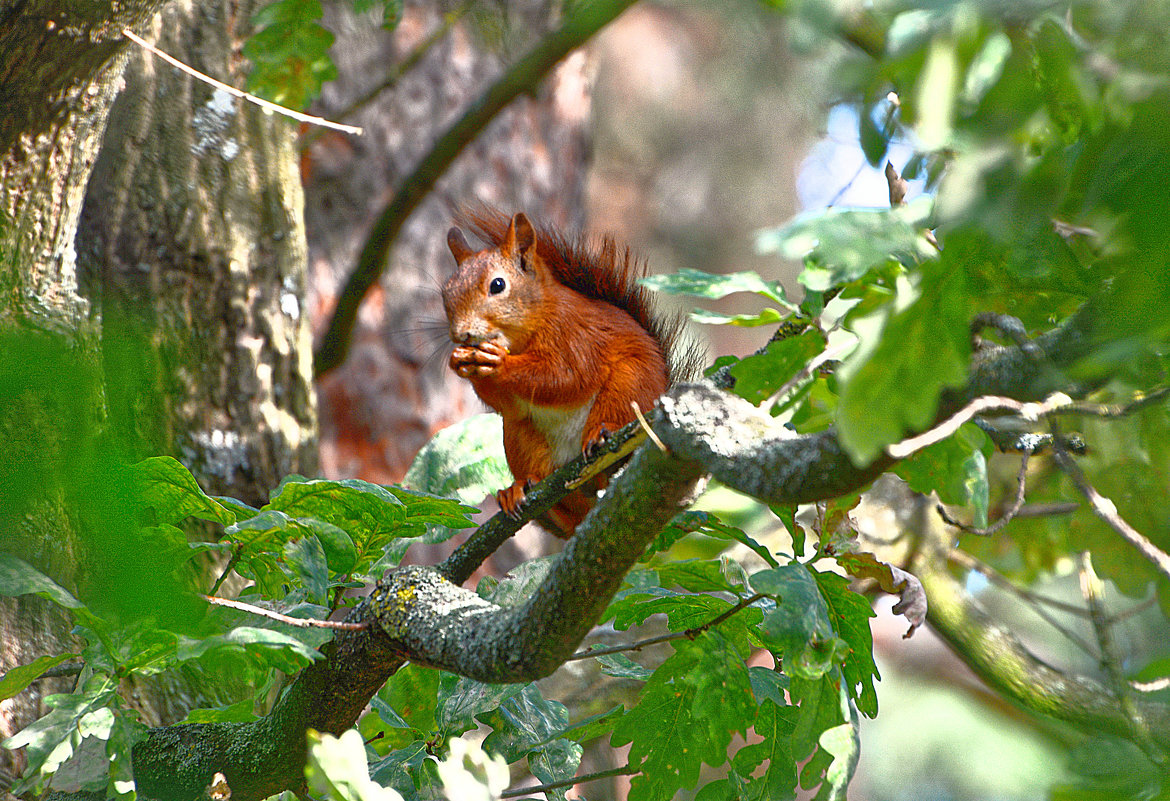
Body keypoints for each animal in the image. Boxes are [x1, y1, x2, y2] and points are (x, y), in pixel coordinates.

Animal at [439, 208, 692, 537]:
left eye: (498, 285)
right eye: (445, 294)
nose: (461, 334)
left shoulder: (576, 336)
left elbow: (566, 378)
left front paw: (499, 364)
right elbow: (509, 404)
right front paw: (461, 363)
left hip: (629, 386)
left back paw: (602, 435)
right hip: (519, 437)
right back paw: (519, 490)